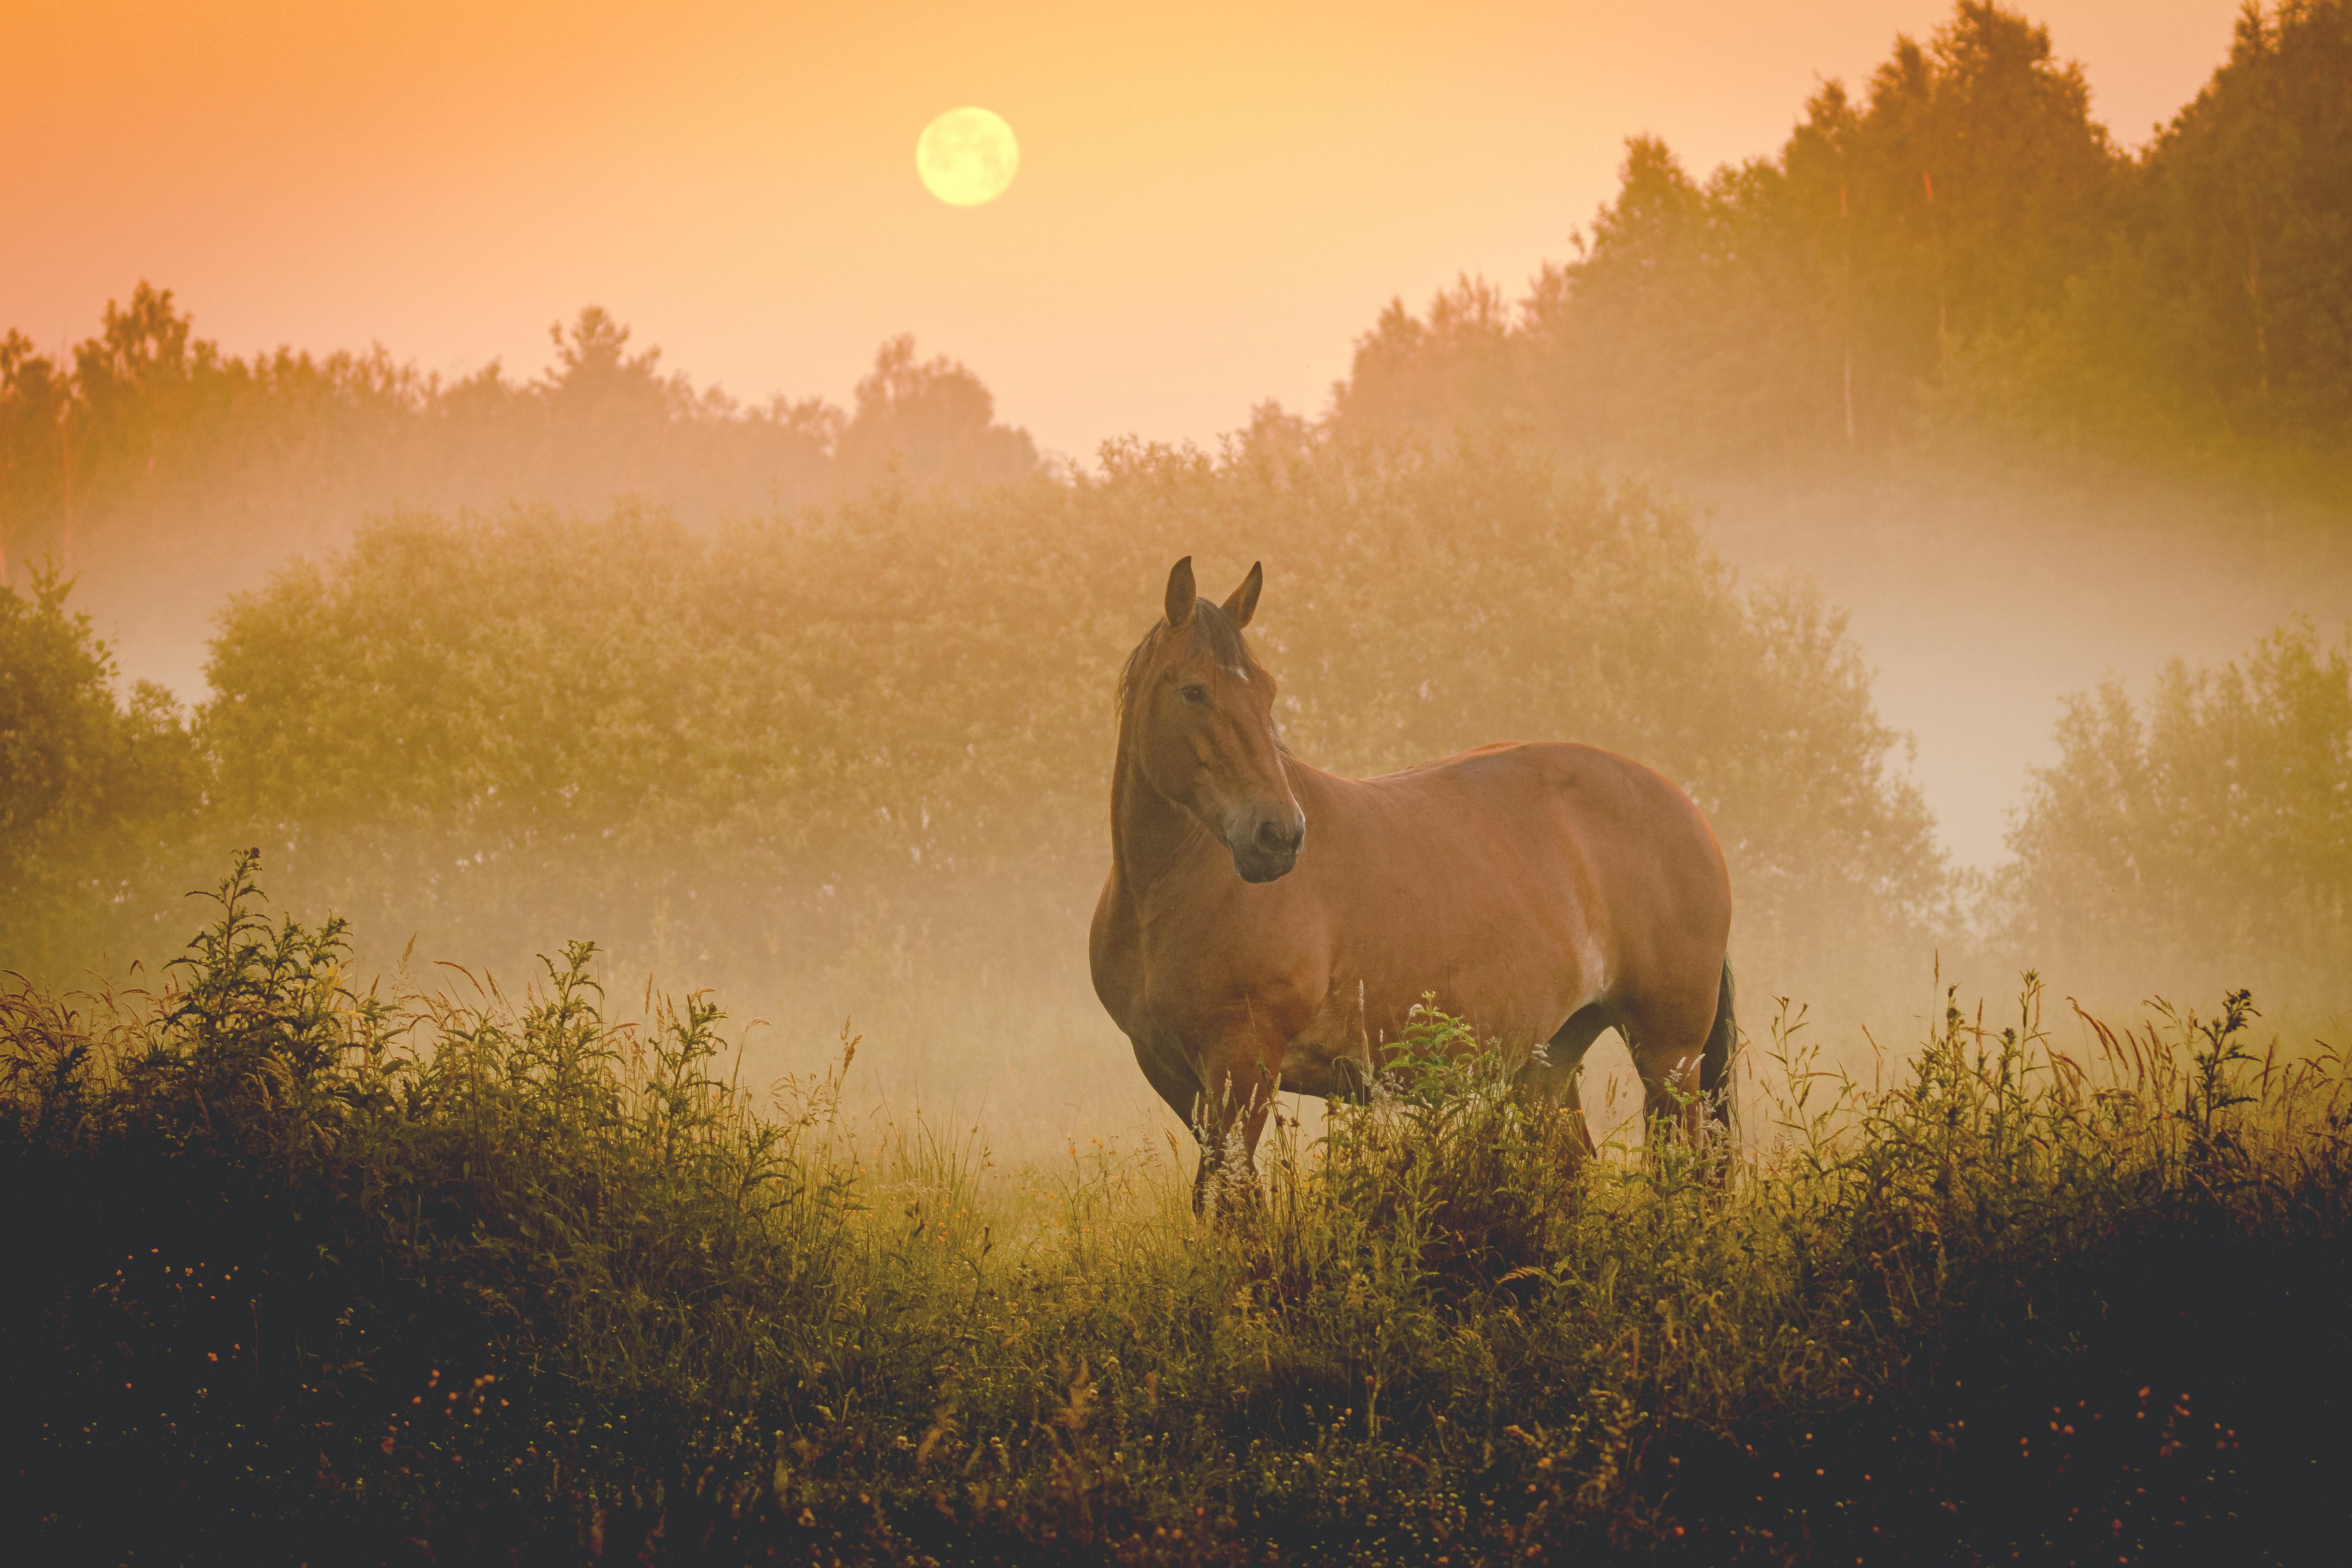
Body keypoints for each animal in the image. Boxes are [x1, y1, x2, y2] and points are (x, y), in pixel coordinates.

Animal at [1091, 557, 1740, 1213]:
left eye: (1267, 691)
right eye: (1193, 691)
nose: (1279, 835)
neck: (1165, 893)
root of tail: (1689, 812)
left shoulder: (1242, 1067)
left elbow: (1237, 1206)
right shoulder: (1175, 1076)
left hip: (1668, 1056)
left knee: (1688, 1170)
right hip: (1550, 1061)